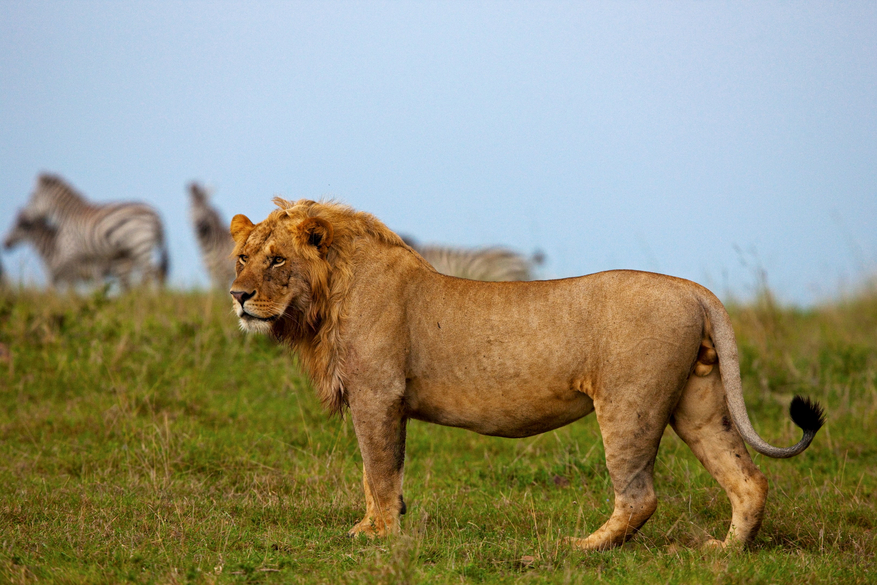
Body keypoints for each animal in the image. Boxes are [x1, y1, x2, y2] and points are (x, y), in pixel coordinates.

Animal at [18, 172, 169, 290]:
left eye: (32, 197)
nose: (21, 218)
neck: (68, 217)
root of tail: (155, 215)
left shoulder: (69, 250)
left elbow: (64, 277)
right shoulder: (94, 256)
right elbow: (96, 280)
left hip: (140, 244)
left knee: (152, 272)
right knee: (153, 273)